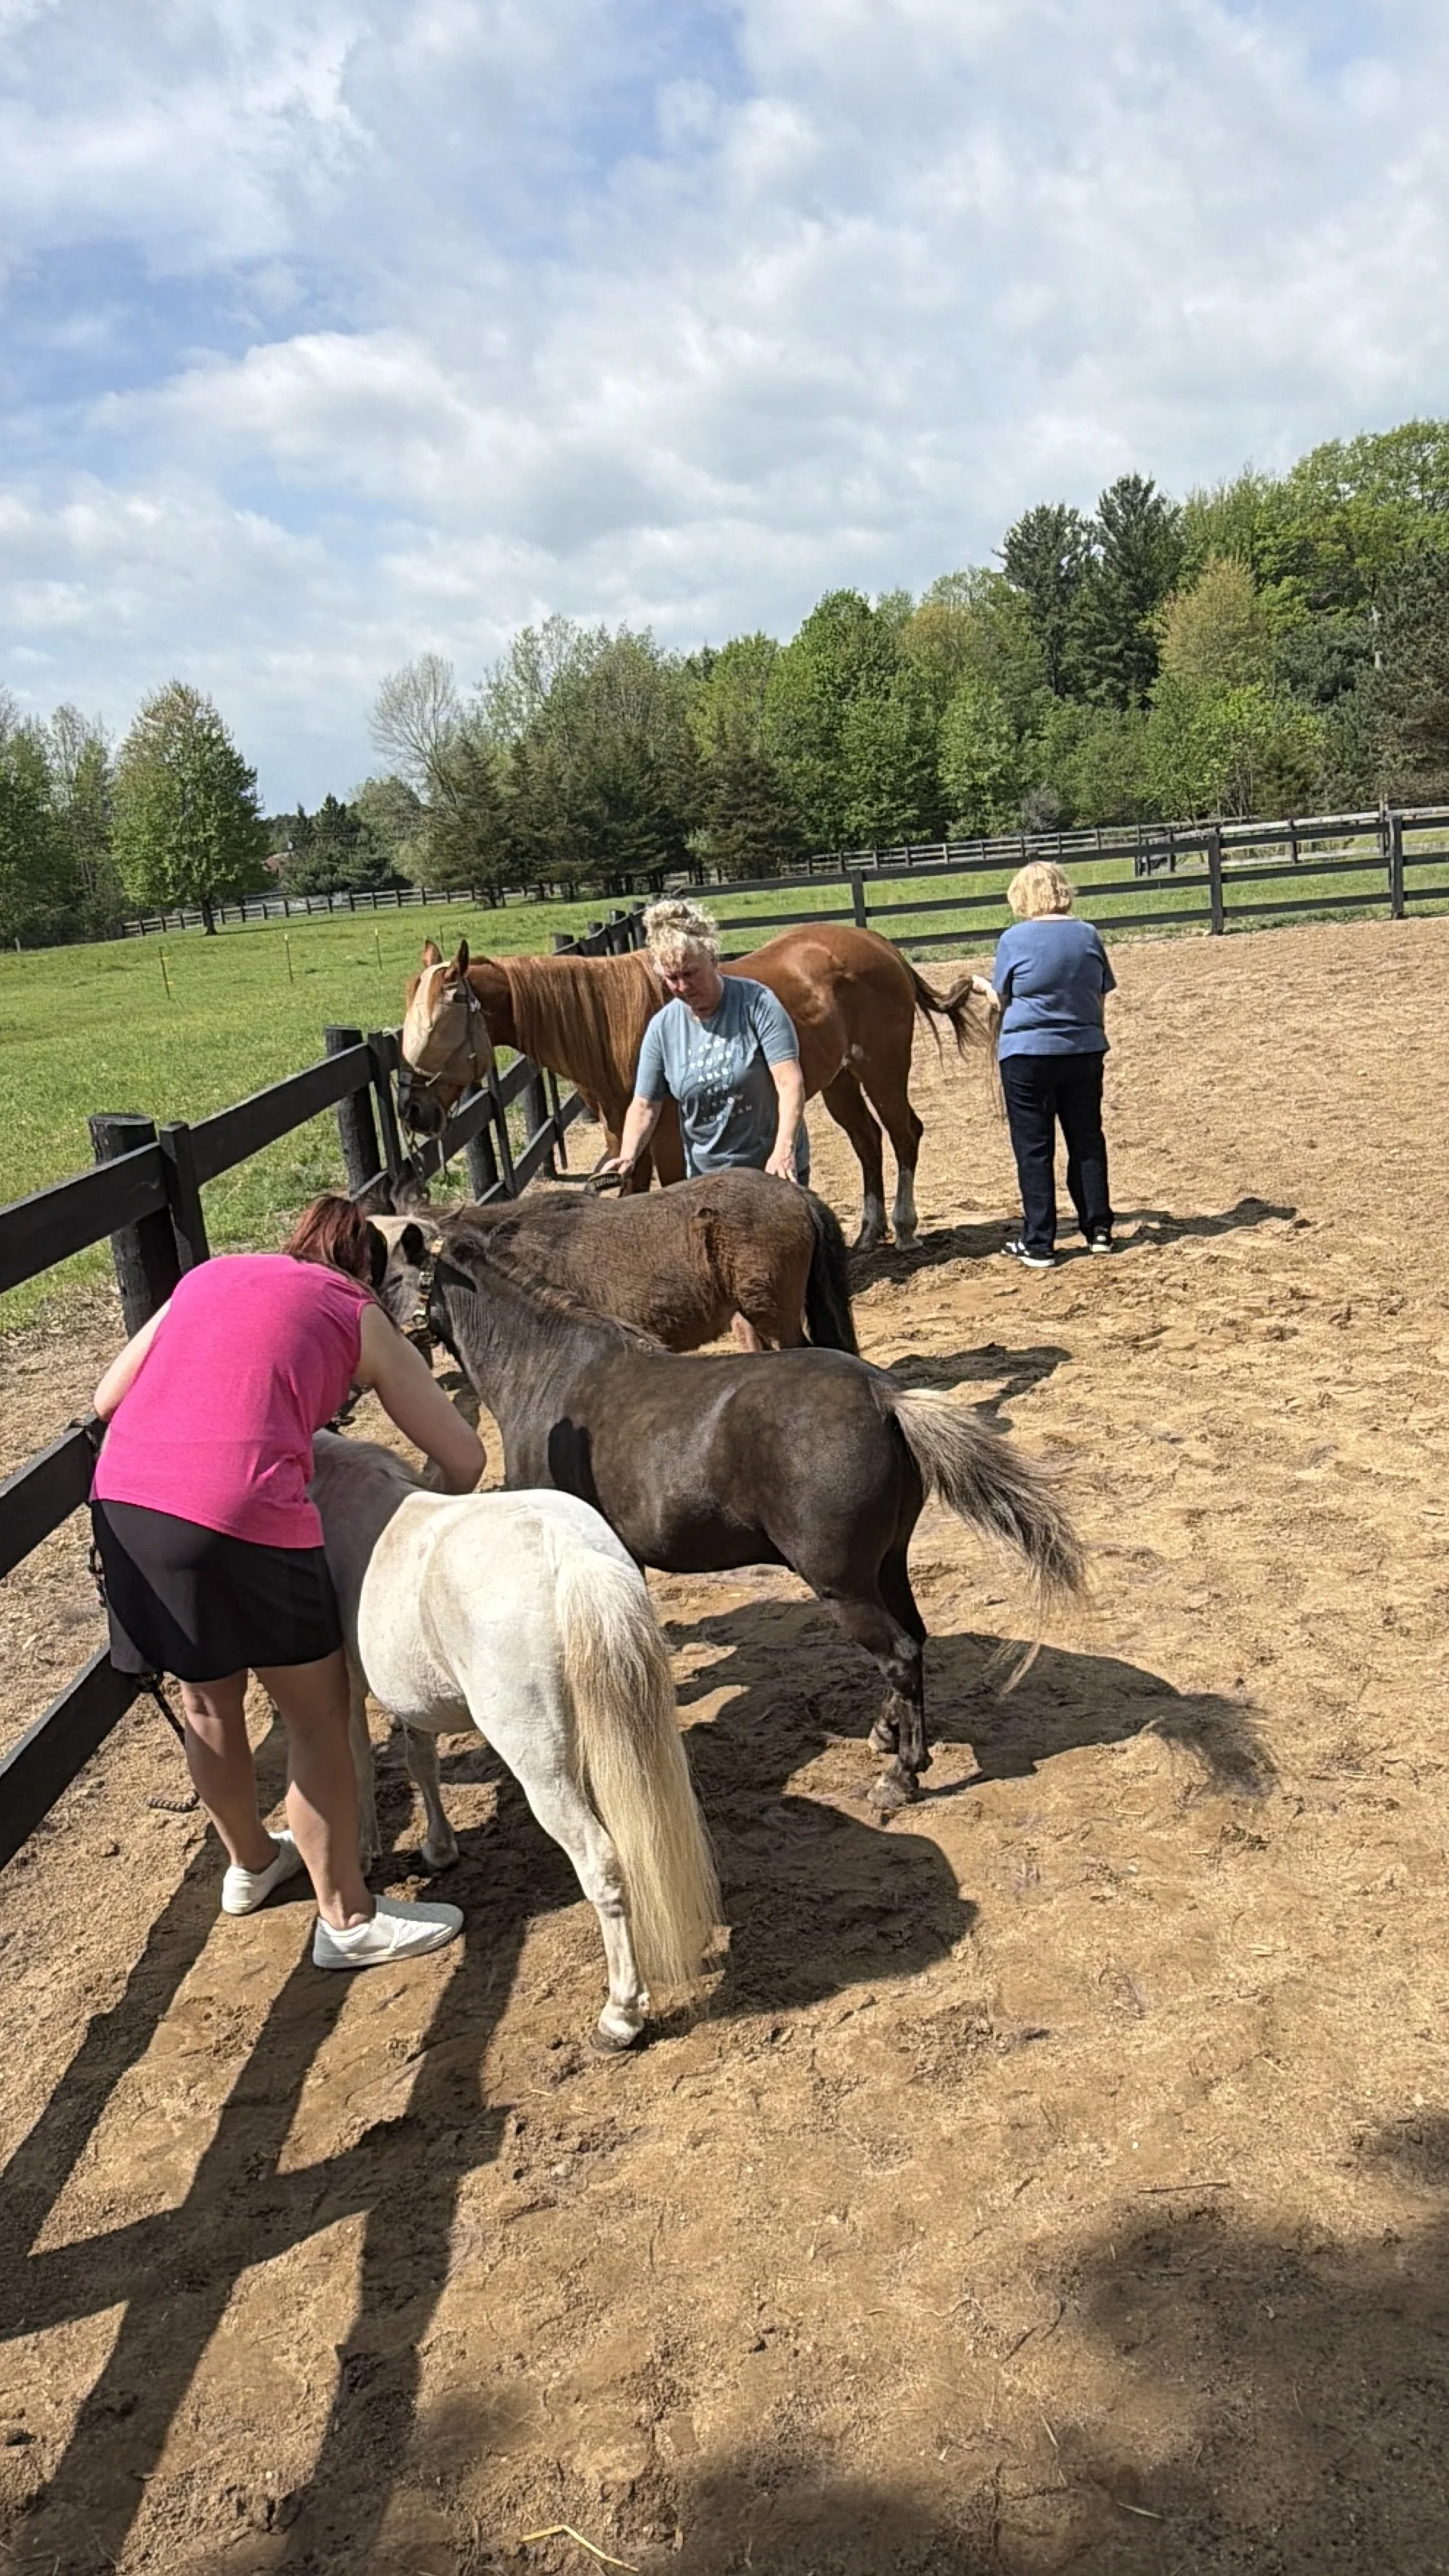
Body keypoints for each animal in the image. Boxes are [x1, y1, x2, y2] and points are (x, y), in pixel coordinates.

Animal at [309, 1431, 719, 2050]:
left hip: (542, 1768)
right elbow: (421, 1761)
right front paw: (439, 1848)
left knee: (602, 1862)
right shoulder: (414, 1697)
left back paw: (619, 2016)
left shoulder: (346, 1688)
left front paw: (364, 1850)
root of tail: (568, 1555)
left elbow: (358, 1766)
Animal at [399, 925, 996, 1252]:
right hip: (840, 1081)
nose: (412, 1110)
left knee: (904, 1133)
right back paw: (871, 1233)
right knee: (868, 1142)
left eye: (440, 1023)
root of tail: (882, 946)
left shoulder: (664, 1132)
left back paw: (907, 1227)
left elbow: (666, 1189)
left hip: (883, 1069)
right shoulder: (623, 1133)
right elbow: (628, 1193)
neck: (608, 1023)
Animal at [426, 1223, 1085, 1813]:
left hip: (843, 1585)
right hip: (886, 1565)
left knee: (899, 1653)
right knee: (915, 1640)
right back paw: (887, 1735)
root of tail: (886, 1399)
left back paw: (901, 1777)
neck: (550, 1373)